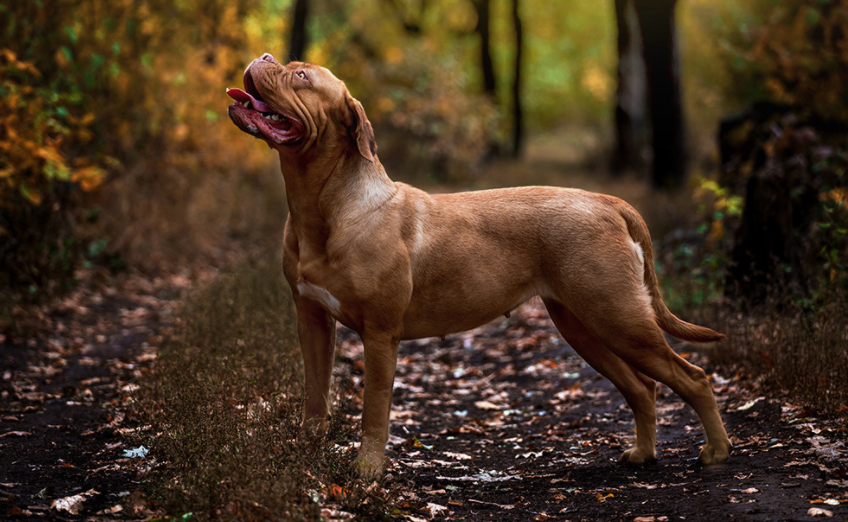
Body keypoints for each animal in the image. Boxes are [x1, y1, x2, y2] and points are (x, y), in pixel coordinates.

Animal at [229, 52, 732, 476]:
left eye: (300, 76)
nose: (266, 56)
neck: (324, 207)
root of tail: (608, 202)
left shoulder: (380, 333)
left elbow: (374, 410)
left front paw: (367, 471)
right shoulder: (312, 319)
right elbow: (315, 395)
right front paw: (306, 453)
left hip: (620, 317)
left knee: (693, 377)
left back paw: (716, 452)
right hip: (585, 325)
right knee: (642, 388)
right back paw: (644, 453)